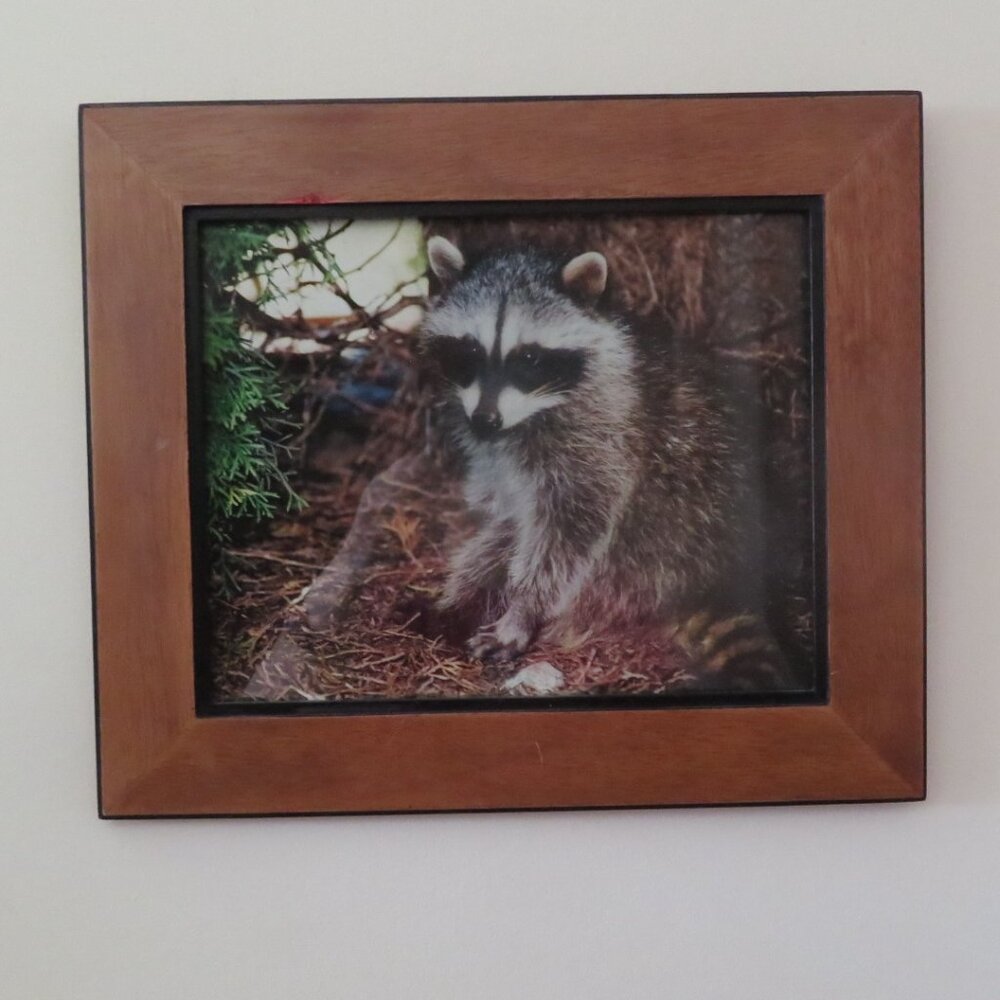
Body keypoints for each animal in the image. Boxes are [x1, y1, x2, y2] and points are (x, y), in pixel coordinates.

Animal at [421, 235, 792, 692]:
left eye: (529, 358)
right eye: (470, 350)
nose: (485, 421)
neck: (534, 409)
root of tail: (713, 576)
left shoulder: (601, 433)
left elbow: (571, 526)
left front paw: (524, 608)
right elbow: (509, 507)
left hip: (637, 563)